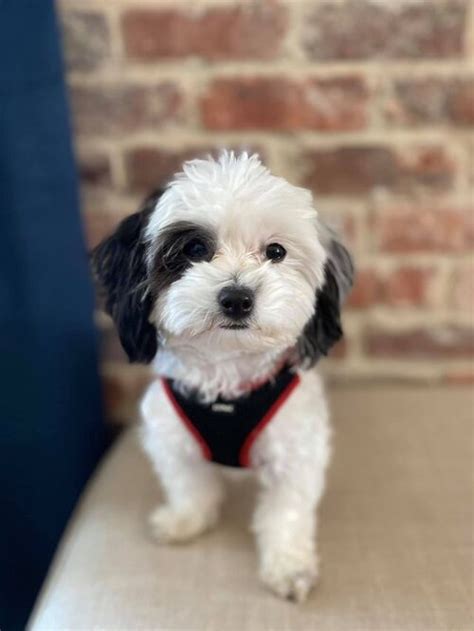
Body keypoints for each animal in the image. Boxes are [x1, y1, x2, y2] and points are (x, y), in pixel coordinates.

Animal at [91, 152, 352, 604]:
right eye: (194, 249)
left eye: (276, 251)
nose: (237, 298)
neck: (227, 377)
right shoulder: (171, 435)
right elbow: (188, 483)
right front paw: (186, 520)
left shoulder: (296, 448)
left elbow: (287, 510)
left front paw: (289, 565)